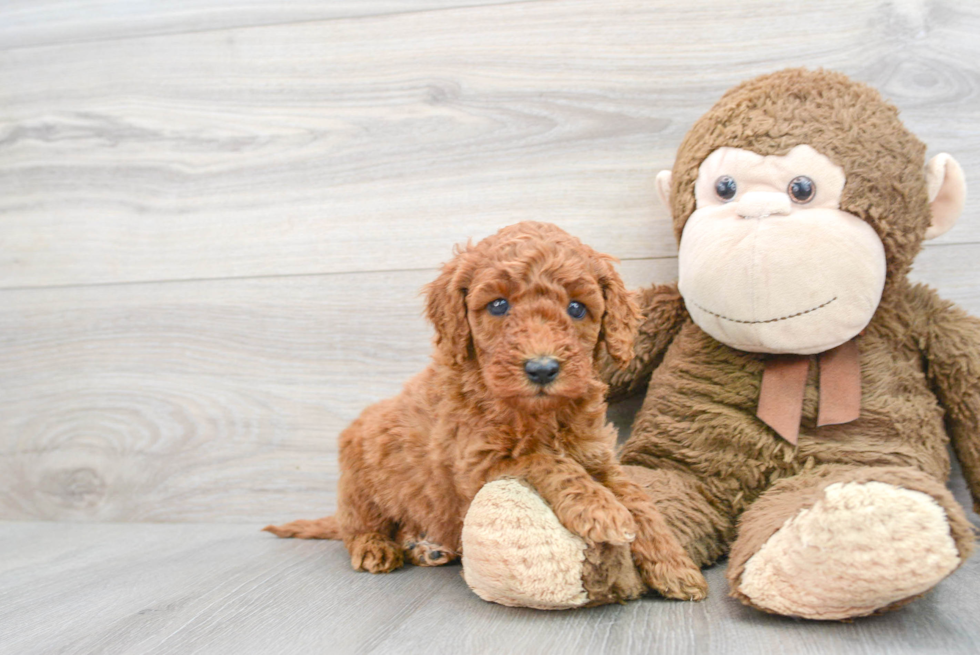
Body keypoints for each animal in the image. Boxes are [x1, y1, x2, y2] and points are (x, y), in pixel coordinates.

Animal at [264, 223, 708, 604]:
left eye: (577, 309)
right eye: (498, 305)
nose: (542, 368)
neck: (538, 413)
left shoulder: (598, 456)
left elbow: (640, 502)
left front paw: (676, 567)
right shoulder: (479, 459)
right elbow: (546, 460)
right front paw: (600, 509)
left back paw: (425, 546)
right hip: (359, 483)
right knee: (357, 526)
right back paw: (377, 547)